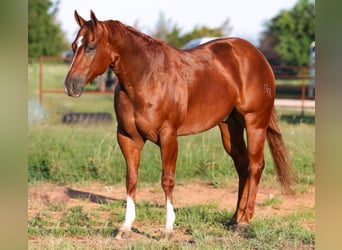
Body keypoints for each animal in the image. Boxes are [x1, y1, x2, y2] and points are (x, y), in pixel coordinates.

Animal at [65, 10, 296, 239]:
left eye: (91, 47)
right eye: (74, 46)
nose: (70, 85)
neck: (147, 78)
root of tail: (258, 56)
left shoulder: (168, 136)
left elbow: (167, 180)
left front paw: (168, 229)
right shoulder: (128, 138)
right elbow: (131, 179)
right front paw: (126, 226)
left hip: (255, 123)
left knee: (255, 166)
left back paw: (245, 221)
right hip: (230, 127)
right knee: (242, 166)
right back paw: (234, 219)